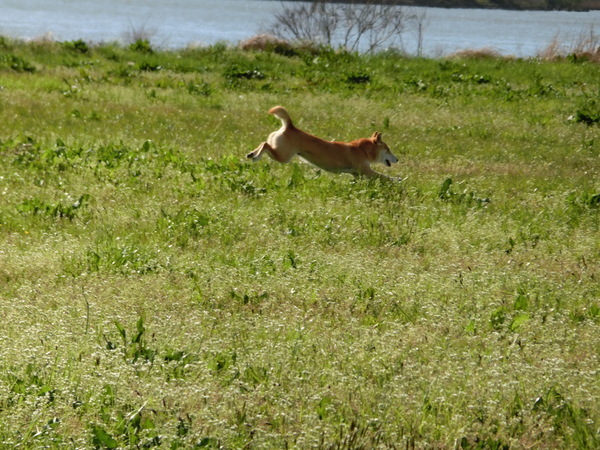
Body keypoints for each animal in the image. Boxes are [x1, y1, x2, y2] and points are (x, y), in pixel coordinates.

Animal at [246, 106, 396, 180]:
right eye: (388, 149)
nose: (398, 159)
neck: (362, 150)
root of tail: (289, 126)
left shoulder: (358, 174)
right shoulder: (367, 171)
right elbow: (384, 177)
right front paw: (397, 180)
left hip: (281, 153)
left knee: (264, 143)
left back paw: (252, 154)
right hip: (284, 156)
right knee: (265, 145)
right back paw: (255, 156)